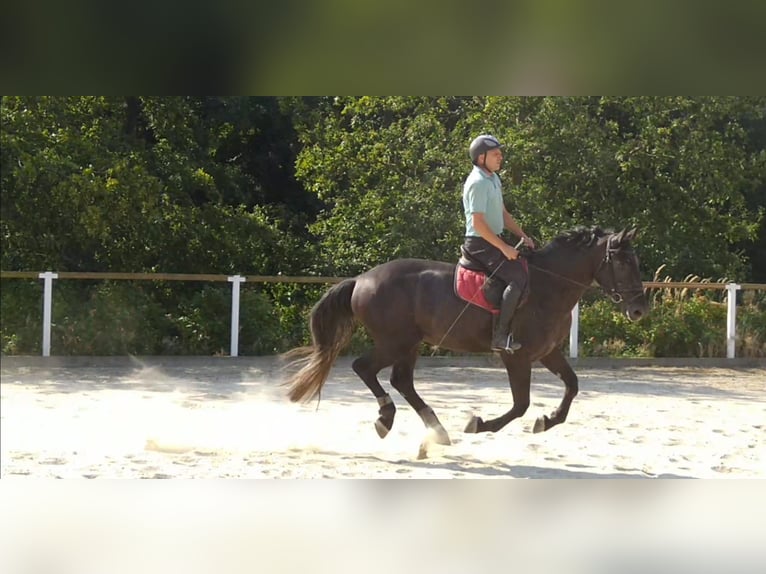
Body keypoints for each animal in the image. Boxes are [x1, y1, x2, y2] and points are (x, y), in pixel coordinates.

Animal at [284, 226, 652, 450]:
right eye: (623, 262)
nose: (639, 310)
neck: (549, 287)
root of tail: (361, 279)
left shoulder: (549, 353)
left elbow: (572, 386)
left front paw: (547, 421)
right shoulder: (516, 356)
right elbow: (520, 404)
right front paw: (479, 424)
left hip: (409, 344)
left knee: (401, 381)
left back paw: (436, 431)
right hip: (395, 342)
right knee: (364, 368)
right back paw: (386, 418)